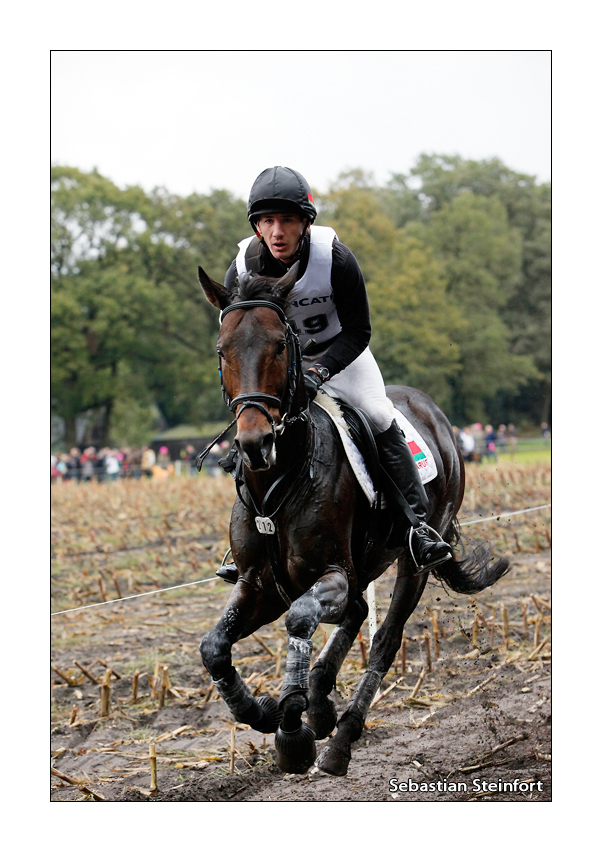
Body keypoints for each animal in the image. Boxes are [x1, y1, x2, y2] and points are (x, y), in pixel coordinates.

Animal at [196, 262, 506, 776]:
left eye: (280, 344)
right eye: (223, 350)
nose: (255, 444)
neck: (280, 480)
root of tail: (431, 410)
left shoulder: (331, 573)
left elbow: (301, 619)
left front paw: (292, 730)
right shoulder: (259, 584)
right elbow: (214, 648)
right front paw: (265, 711)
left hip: (414, 559)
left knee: (385, 637)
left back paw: (339, 737)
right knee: (359, 611)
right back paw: (321, 701)